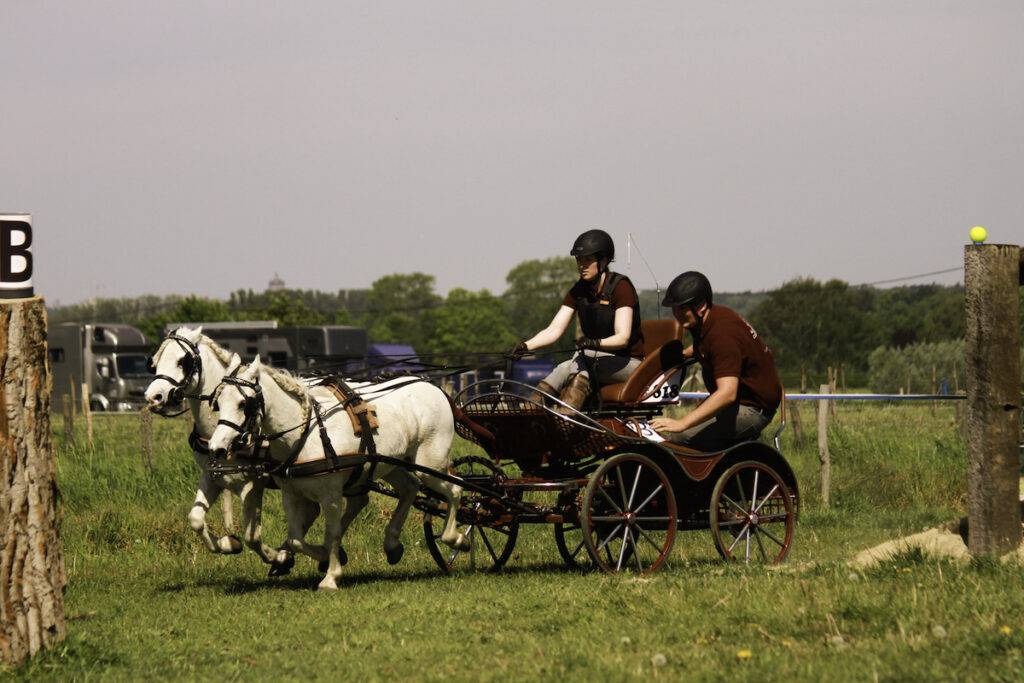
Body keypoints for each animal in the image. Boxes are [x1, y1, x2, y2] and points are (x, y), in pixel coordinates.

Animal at [205, 356, 469, 591]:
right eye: (218, 402)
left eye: (244, 404)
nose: (216, 448)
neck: (305, 432)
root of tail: (433, 387)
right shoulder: (290, 494)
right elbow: (295, 538)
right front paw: (318, 556)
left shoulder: (331, 495)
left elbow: (331, 533)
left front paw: (331, 576)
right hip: (391, 464)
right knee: (409, 489)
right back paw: (392, 544)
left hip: (430, 464)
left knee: (455, 488)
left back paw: (456, 538)